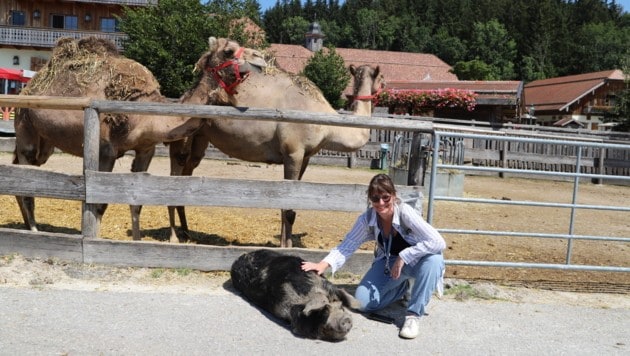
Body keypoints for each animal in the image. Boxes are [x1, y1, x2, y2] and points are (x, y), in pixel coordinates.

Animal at [14, 36, 266, 241]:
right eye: (229, 51)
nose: (261, 59)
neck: (147, 114)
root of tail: (28, 87)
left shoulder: (146, 149)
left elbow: (138, 202)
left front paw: (136, 241)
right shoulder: (106, 149)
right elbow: (100, 203)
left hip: (44, 142)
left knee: (22, 166)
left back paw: (27, 225)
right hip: (26, 124)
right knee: (24, 171)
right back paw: (34, 229)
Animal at [169, 38, 386, 245]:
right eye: (382, 79)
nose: (386, 91)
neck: (328, 126)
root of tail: (183, 99)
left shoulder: (304, 157)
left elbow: (289, 204)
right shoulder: (293, 153)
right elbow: (288, 209)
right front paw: (286, 247)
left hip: (200, 139)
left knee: (186, 176)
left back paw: (187, 232)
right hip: (181, 139)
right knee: (174, 174)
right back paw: (174, 237)